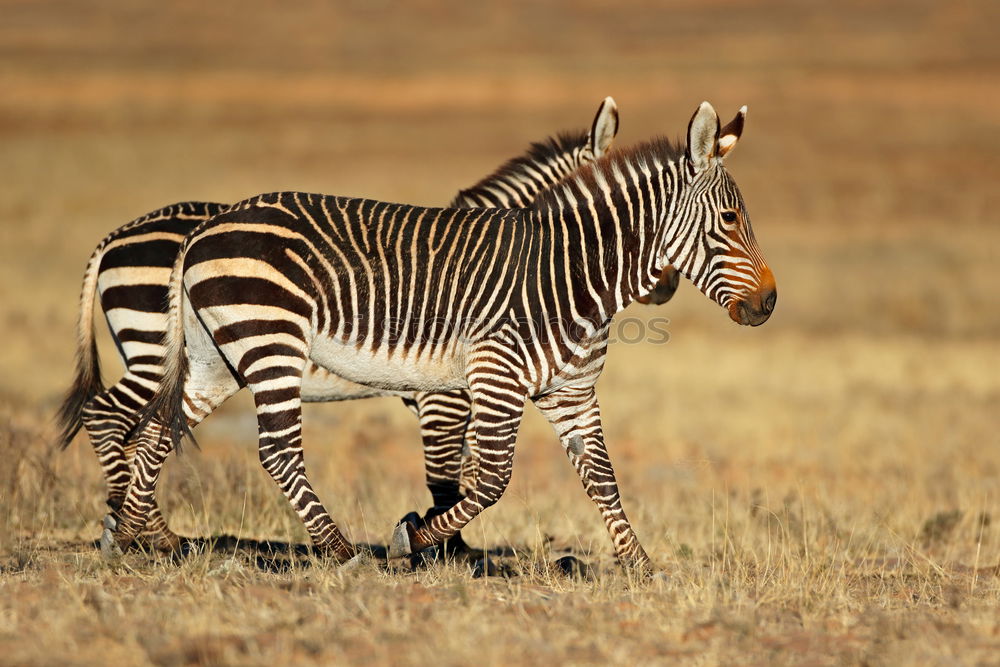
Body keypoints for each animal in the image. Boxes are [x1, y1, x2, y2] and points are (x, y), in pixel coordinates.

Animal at [107, 99, 772, 568]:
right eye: (730, 218)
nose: (768, 303)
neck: (567, 271)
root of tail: (208, 225)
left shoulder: (570, 392)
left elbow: (601, 479)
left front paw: (640, 566)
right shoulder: (473, 387)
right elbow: (476, 479)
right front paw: (425, 543)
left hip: (215, 356)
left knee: (158, 430)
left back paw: (135, 536)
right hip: (263, 342)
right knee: (265, 449)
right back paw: (340, 552)